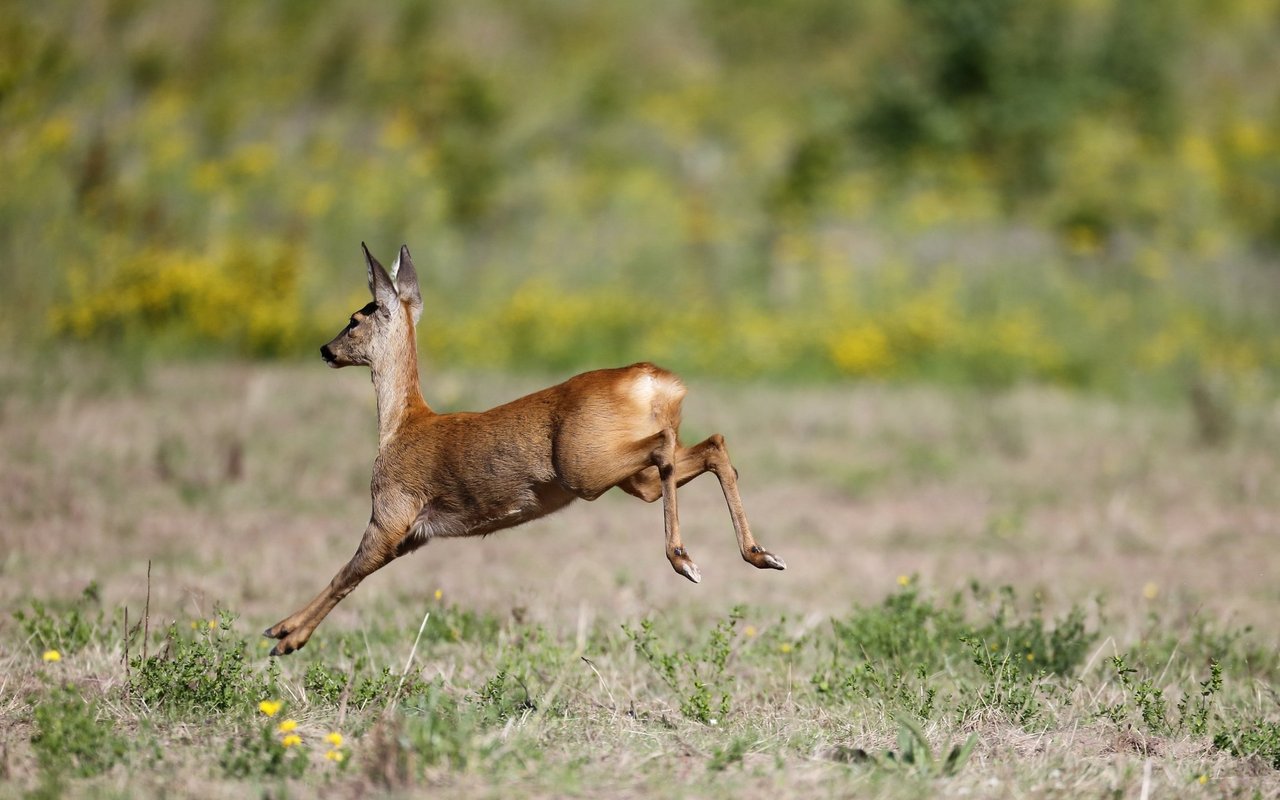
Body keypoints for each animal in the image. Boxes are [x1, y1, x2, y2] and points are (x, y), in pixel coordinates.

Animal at [261, 243, 783, 655]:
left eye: (354, 319)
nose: (325, 350)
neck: (401, 425)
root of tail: (656, 381)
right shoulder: (415, 536)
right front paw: (283, 633)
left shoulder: (392, 516)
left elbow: (346, 574)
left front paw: (283, 636)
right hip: (630, 479)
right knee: (711, 445)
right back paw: (761, 555)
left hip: (584, 468)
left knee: (667, 446)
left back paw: (685, 559)